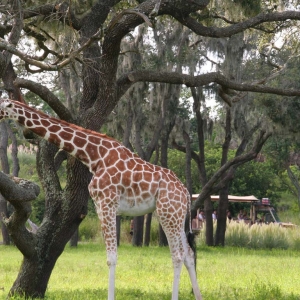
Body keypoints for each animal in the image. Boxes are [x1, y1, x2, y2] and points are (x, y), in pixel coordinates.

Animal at [0, 98, 203, 300]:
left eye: (1, 106)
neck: (93, 156)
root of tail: (185, 193)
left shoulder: (107, 203)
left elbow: (111, 258)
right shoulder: (100, 206)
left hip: (168, 213)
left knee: (178, 255)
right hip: (175, 216)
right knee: (188, 253)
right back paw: (198, 296)